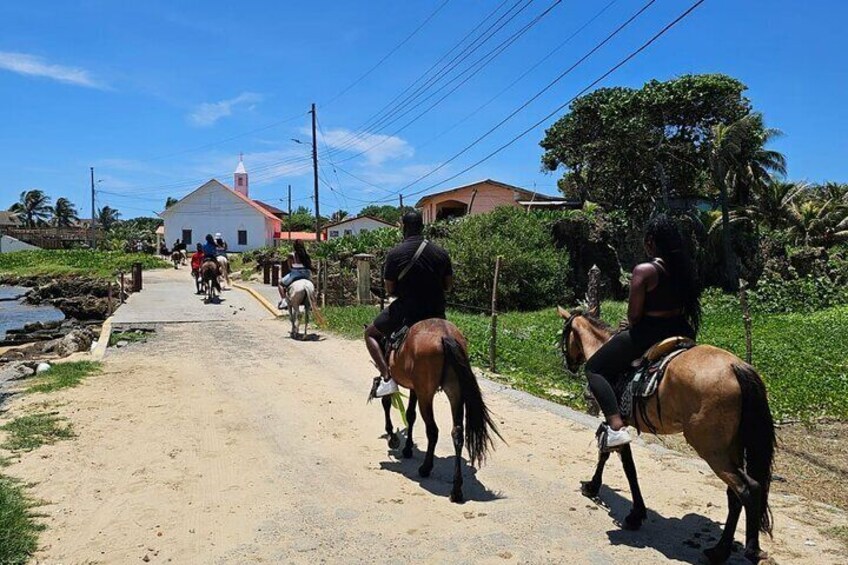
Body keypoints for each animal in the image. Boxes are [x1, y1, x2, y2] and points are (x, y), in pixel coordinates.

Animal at [374, 318, 500, 502]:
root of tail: (446, 336)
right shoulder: (415, 389)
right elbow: (410, 415)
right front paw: (408, 448)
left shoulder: (400, 383)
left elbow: (387, 403)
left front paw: (393, 438)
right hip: (454, 390)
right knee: (457, 433)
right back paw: (456, 489)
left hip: (427, 394)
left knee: (433, 430)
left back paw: (426, 468)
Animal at [556, 306, 776, 560]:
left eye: (564, 336)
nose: (569, 365)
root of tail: (736, 367)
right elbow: (619, 460)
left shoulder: (614, 420)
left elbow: (617, 459)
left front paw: (606, 495)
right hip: (732, 449)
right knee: (736, 494)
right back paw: (725, 548)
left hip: (712, 450)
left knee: (746, 490)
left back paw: (742, 549)